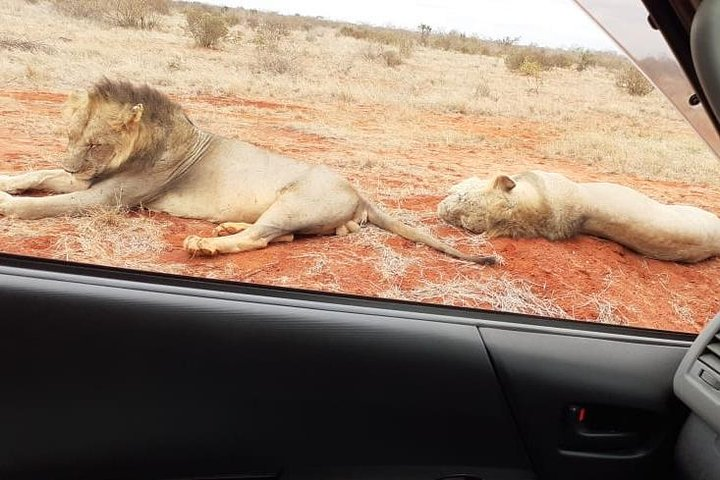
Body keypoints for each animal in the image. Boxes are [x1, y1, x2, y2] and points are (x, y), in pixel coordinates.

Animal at [0, 80, 496, 264]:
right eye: (69, 136)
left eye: (95, 143)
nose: (73, 162)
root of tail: (361, 193)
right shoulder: (88, 179)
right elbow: (39, 174)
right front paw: (9, 182)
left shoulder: (107, 197)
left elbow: (48, 204)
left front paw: (6, 204)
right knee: (280, 235)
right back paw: (227, 225)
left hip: (297, 200)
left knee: (262, 238)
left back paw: (206, 243)